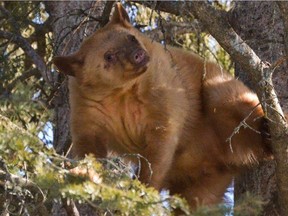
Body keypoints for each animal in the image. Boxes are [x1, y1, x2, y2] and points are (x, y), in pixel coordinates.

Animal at [54, 2, 272, 210]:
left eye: (131, 38)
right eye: (108, 55)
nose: (138, 55)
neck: (121, 93)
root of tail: (223, 160)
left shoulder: (162, 87)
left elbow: (162, 139)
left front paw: (142, 188)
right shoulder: (87, 105)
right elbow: (89, 144)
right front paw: (81, 171)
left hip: (215, 90)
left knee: (232, 100)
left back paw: (267, 132)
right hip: (202, 182)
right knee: (197, 200)